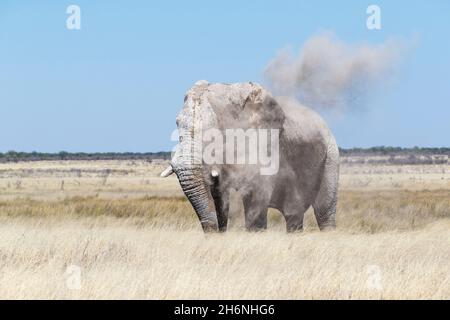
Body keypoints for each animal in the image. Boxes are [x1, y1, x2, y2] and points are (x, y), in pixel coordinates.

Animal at [160, 80, 340, 232]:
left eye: (214, 132)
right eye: (177, 124)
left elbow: (255, 199)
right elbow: (220, 198)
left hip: (331, 156)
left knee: (324, 210)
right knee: (293, 213)